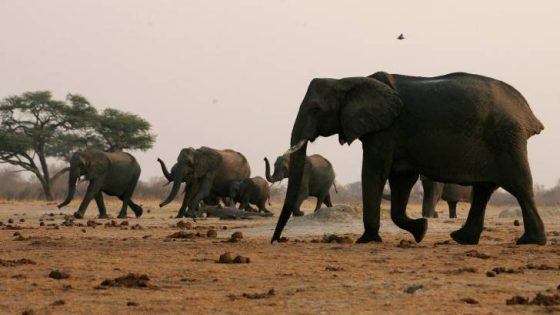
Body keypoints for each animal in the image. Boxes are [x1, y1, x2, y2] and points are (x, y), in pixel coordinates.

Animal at [274, 72, 544, 247]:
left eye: (316, 110)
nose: (277, 240)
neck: (348, 80)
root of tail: (528, 113)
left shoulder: (385, 130)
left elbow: (374, 172)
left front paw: (366, 240)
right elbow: (401, 179)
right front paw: (420, 231)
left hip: (506, 138)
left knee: (519, 186)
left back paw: (529, 241)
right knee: (484, 190)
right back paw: (461, 239)